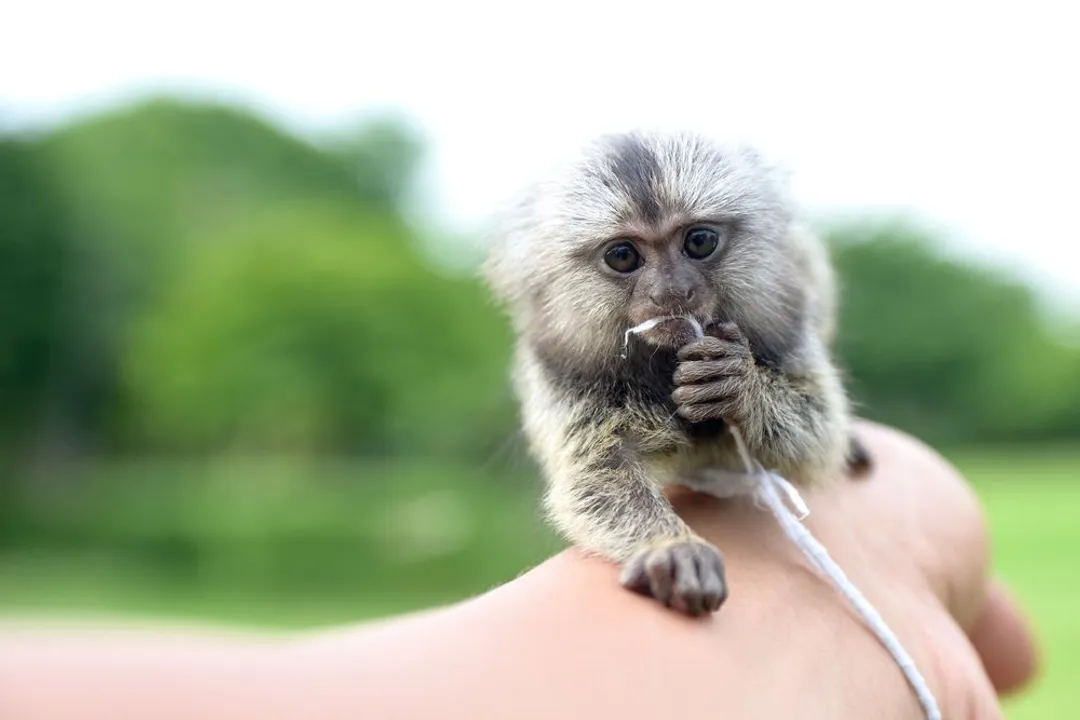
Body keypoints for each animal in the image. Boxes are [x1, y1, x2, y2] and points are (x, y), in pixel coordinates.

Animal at [483, 130, 871, 616]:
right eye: (623, 255)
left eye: (699, 241)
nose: (672, 291)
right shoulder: (565, 376)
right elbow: (599, 471)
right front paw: (670, 547)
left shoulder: (789, 325)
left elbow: (818, 436)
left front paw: (739, 387)